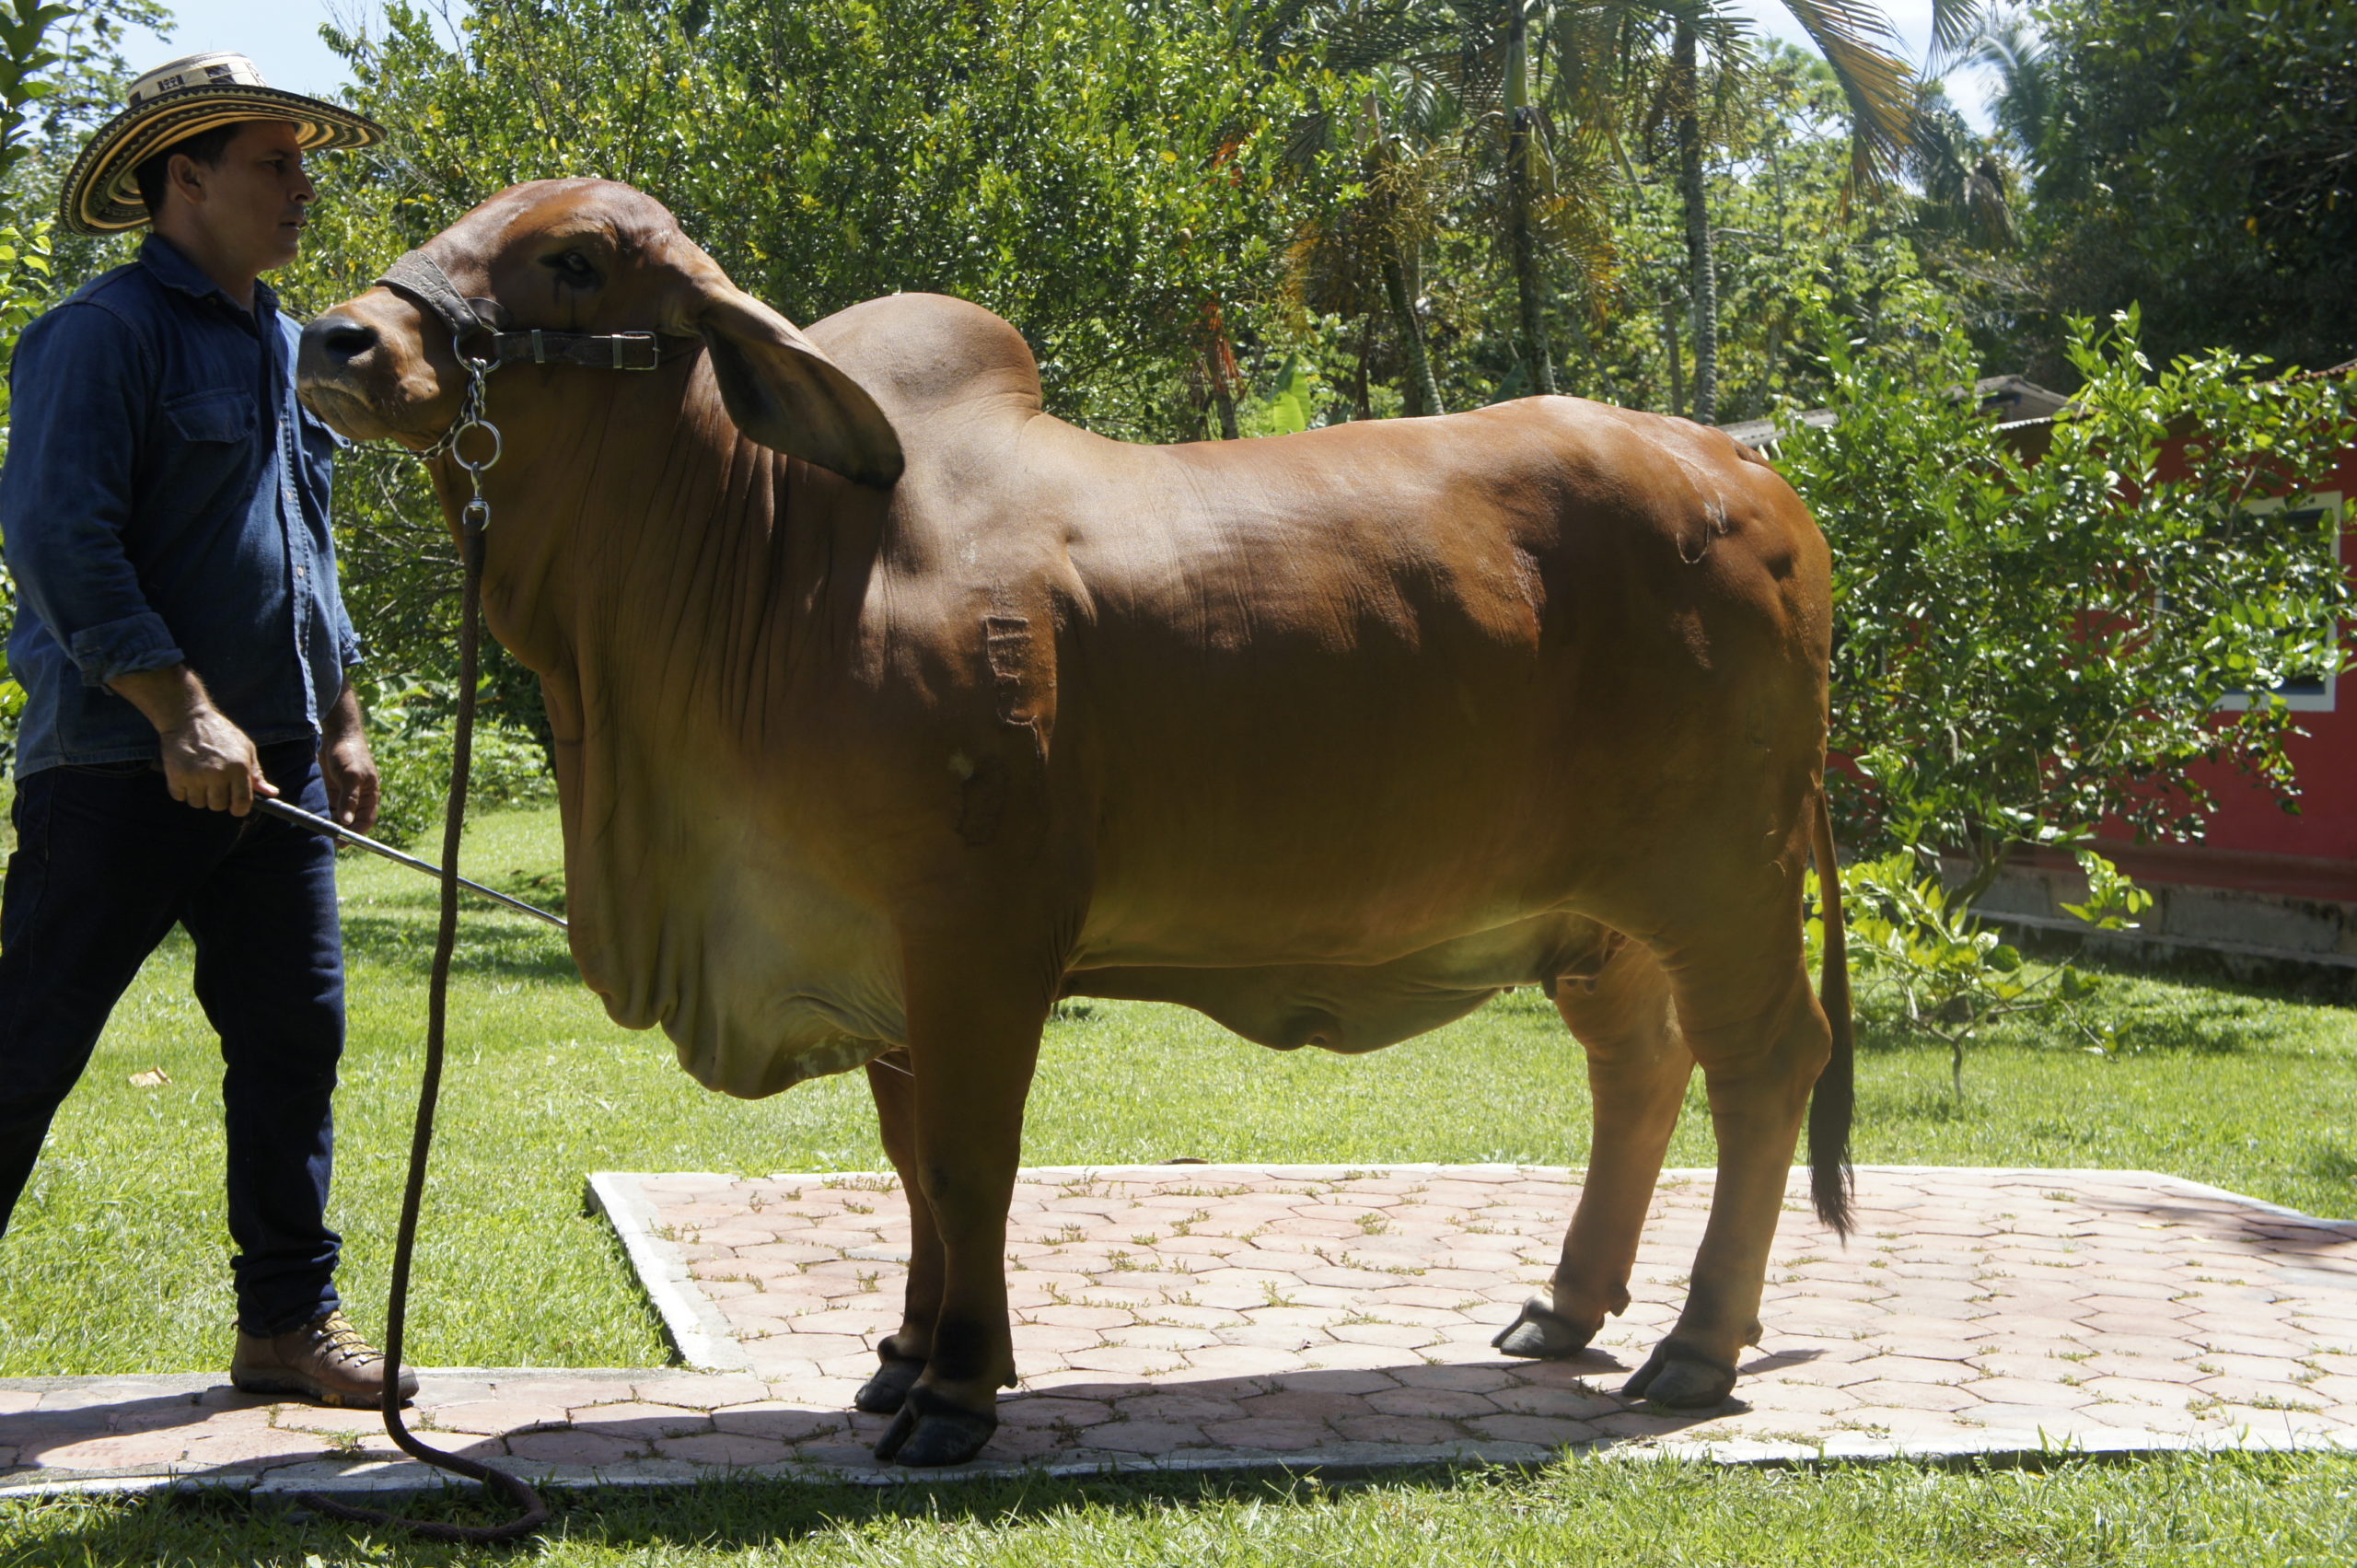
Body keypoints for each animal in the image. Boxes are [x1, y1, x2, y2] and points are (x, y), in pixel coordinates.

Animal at [298, 179, 1853, 1468]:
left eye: (573, 256)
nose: (337, 339)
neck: (778, 558)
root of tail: (1749, 473)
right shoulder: (881, 950)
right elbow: (912, 1166)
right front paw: (899, 1354)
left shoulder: (976, 929)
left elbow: (969, 1159)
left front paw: (954, 1391)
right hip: (1598, 912)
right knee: (1640, 1068)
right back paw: (1569, 1307)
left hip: (1724, 876)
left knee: (1764, 1062)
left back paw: (1693, 1347)